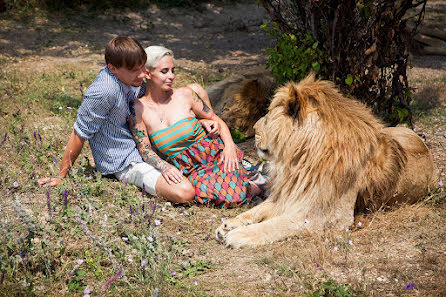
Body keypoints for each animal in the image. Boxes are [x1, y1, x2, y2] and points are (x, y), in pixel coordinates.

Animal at [215, 73, 436, 247]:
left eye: (268, 114)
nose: (253, 129)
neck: (298, 160)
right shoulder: (290, 195)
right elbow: (257, 210)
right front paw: (228, 225)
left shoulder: (323, 217)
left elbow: (275, 225)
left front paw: (239, 235)